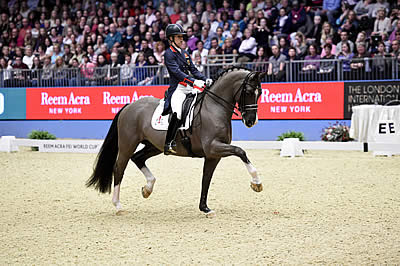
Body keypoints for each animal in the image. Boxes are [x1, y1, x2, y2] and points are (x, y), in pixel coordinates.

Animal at [86, 67, 264, 218]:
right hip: (127, 145)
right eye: (249, 91)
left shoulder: (213, 155)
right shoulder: (213, 147)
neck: (213, 108)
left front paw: (205, 208)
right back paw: (118, 206)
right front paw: (257, 183)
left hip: (154, 146)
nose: (251, 121)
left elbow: (206, 179)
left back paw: (147, 189)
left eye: (260, 93)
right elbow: (240, 151)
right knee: (119, 168)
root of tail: (130, 106)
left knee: (138, 158)